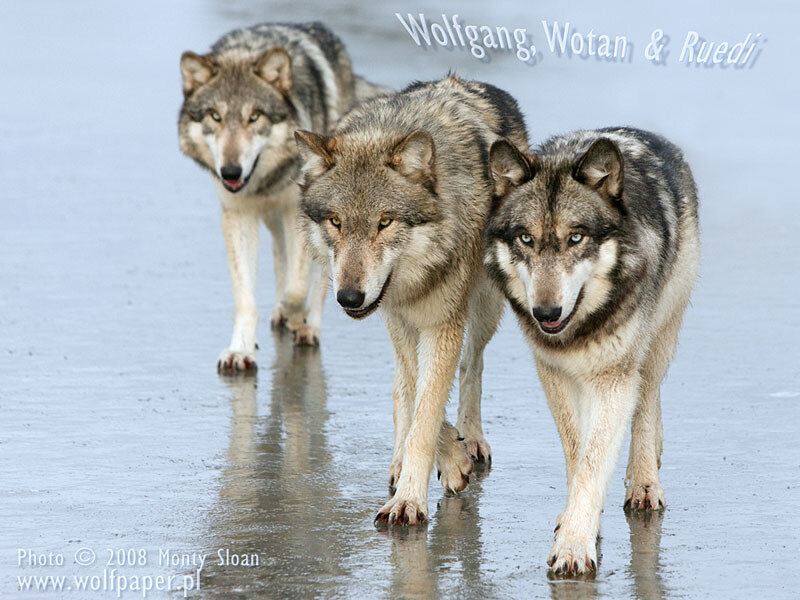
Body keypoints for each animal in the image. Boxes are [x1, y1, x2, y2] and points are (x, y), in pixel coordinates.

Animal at [178, 22, 388, 372]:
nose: (230, 171)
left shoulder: (300, 213)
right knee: (280, 255)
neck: (266, 181)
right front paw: (240, 349)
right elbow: (246, 297)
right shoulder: (238, 214)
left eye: (255, 117)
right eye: (215, 117)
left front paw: (297, 316)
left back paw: (307, 327)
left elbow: (297, 288)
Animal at [294, 76, 529, 524]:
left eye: (385, 222)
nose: (349, 296)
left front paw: (409, 500)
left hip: (485, 305)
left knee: (472, 364)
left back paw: (471, 438)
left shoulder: (442, 323)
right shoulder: (399, 316)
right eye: (336, 222)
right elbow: (415, 395)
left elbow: (428, 410)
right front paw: (437, 463)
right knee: (401, 386)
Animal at [484, 127, 700, 575]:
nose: (545, 312)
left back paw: (644, 482)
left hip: (656, 342)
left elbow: (594, 459)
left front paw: (574, 546)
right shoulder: (553, 371)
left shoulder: (614, 379)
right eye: (526, 239)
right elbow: (576, 452)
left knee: (646, 402)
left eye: (576, 237)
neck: (579, 329)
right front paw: (577, 522)